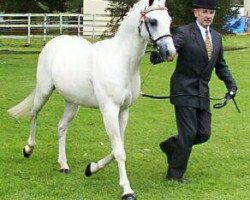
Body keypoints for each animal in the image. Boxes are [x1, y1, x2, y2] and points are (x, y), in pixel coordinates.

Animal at [8, 0, 176, 200]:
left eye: (169, 20)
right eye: (153, 21)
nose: (170, 52)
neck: (121, 62)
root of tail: (54, 42)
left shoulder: (124, 111)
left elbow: (117, 148)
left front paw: (91, 168)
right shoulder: (109, 110)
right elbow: (119, 151)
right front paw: (127, 190)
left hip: (73, 103)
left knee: (61, 127)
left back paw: (63, 165)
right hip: (44, 91)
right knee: (34, 114)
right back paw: (28, 149)